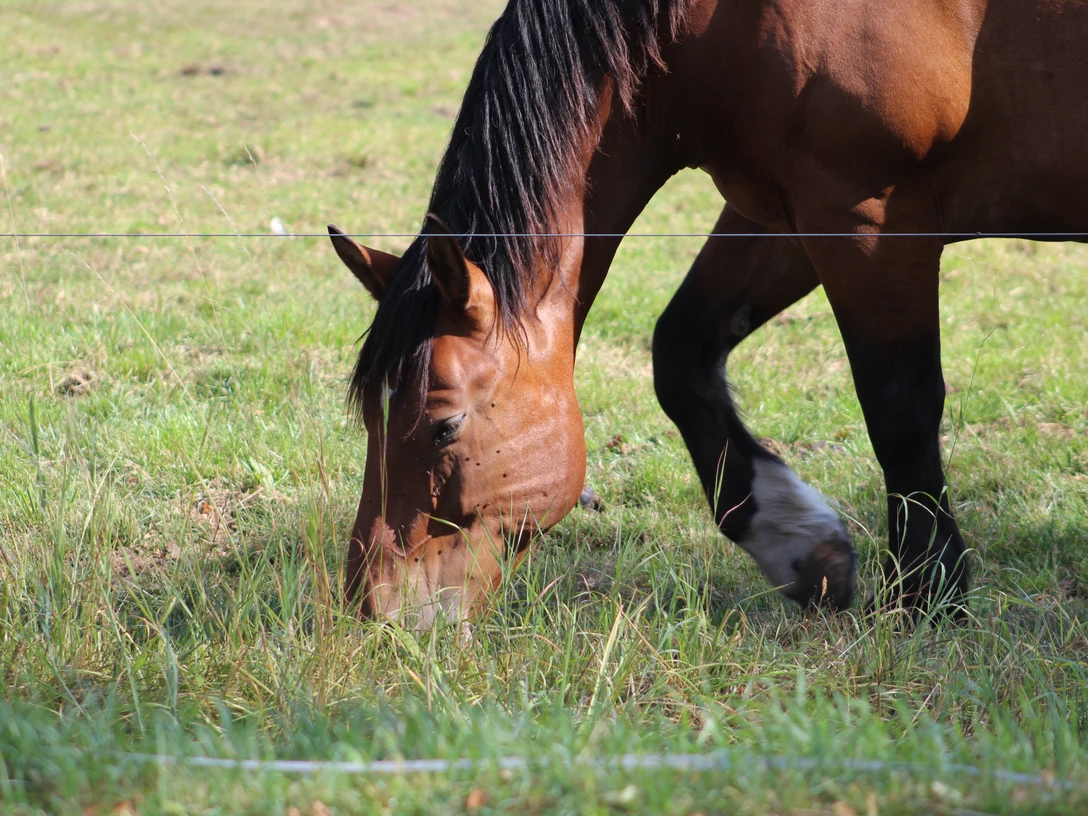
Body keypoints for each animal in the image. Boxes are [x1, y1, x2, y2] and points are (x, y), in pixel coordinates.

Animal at [327, 0, 1088, 625]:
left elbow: (898, 404)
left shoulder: (868, 219)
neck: (720, 20)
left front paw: (930, 594)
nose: (374, 611)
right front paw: (803, 546)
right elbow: (682, 354)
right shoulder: (783, 216)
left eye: (442, 426)